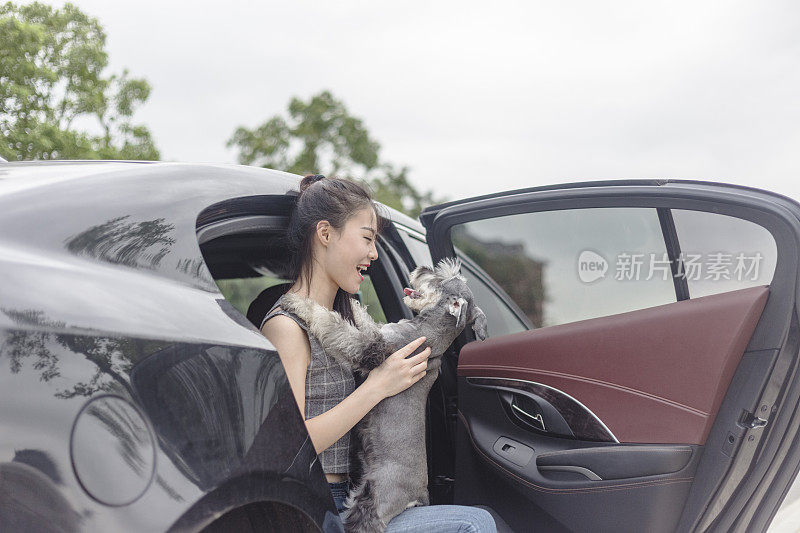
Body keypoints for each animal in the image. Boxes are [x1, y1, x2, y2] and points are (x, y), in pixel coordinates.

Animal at [284, 256, 490, 528]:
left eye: (439, 280)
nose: (422, 268)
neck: (429, 332)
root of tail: (418, 496)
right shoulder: (378, 333)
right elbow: (362, 321)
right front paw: (353, 304)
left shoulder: (372, 348)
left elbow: (336, 327)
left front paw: (298, 303)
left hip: (374, 506)